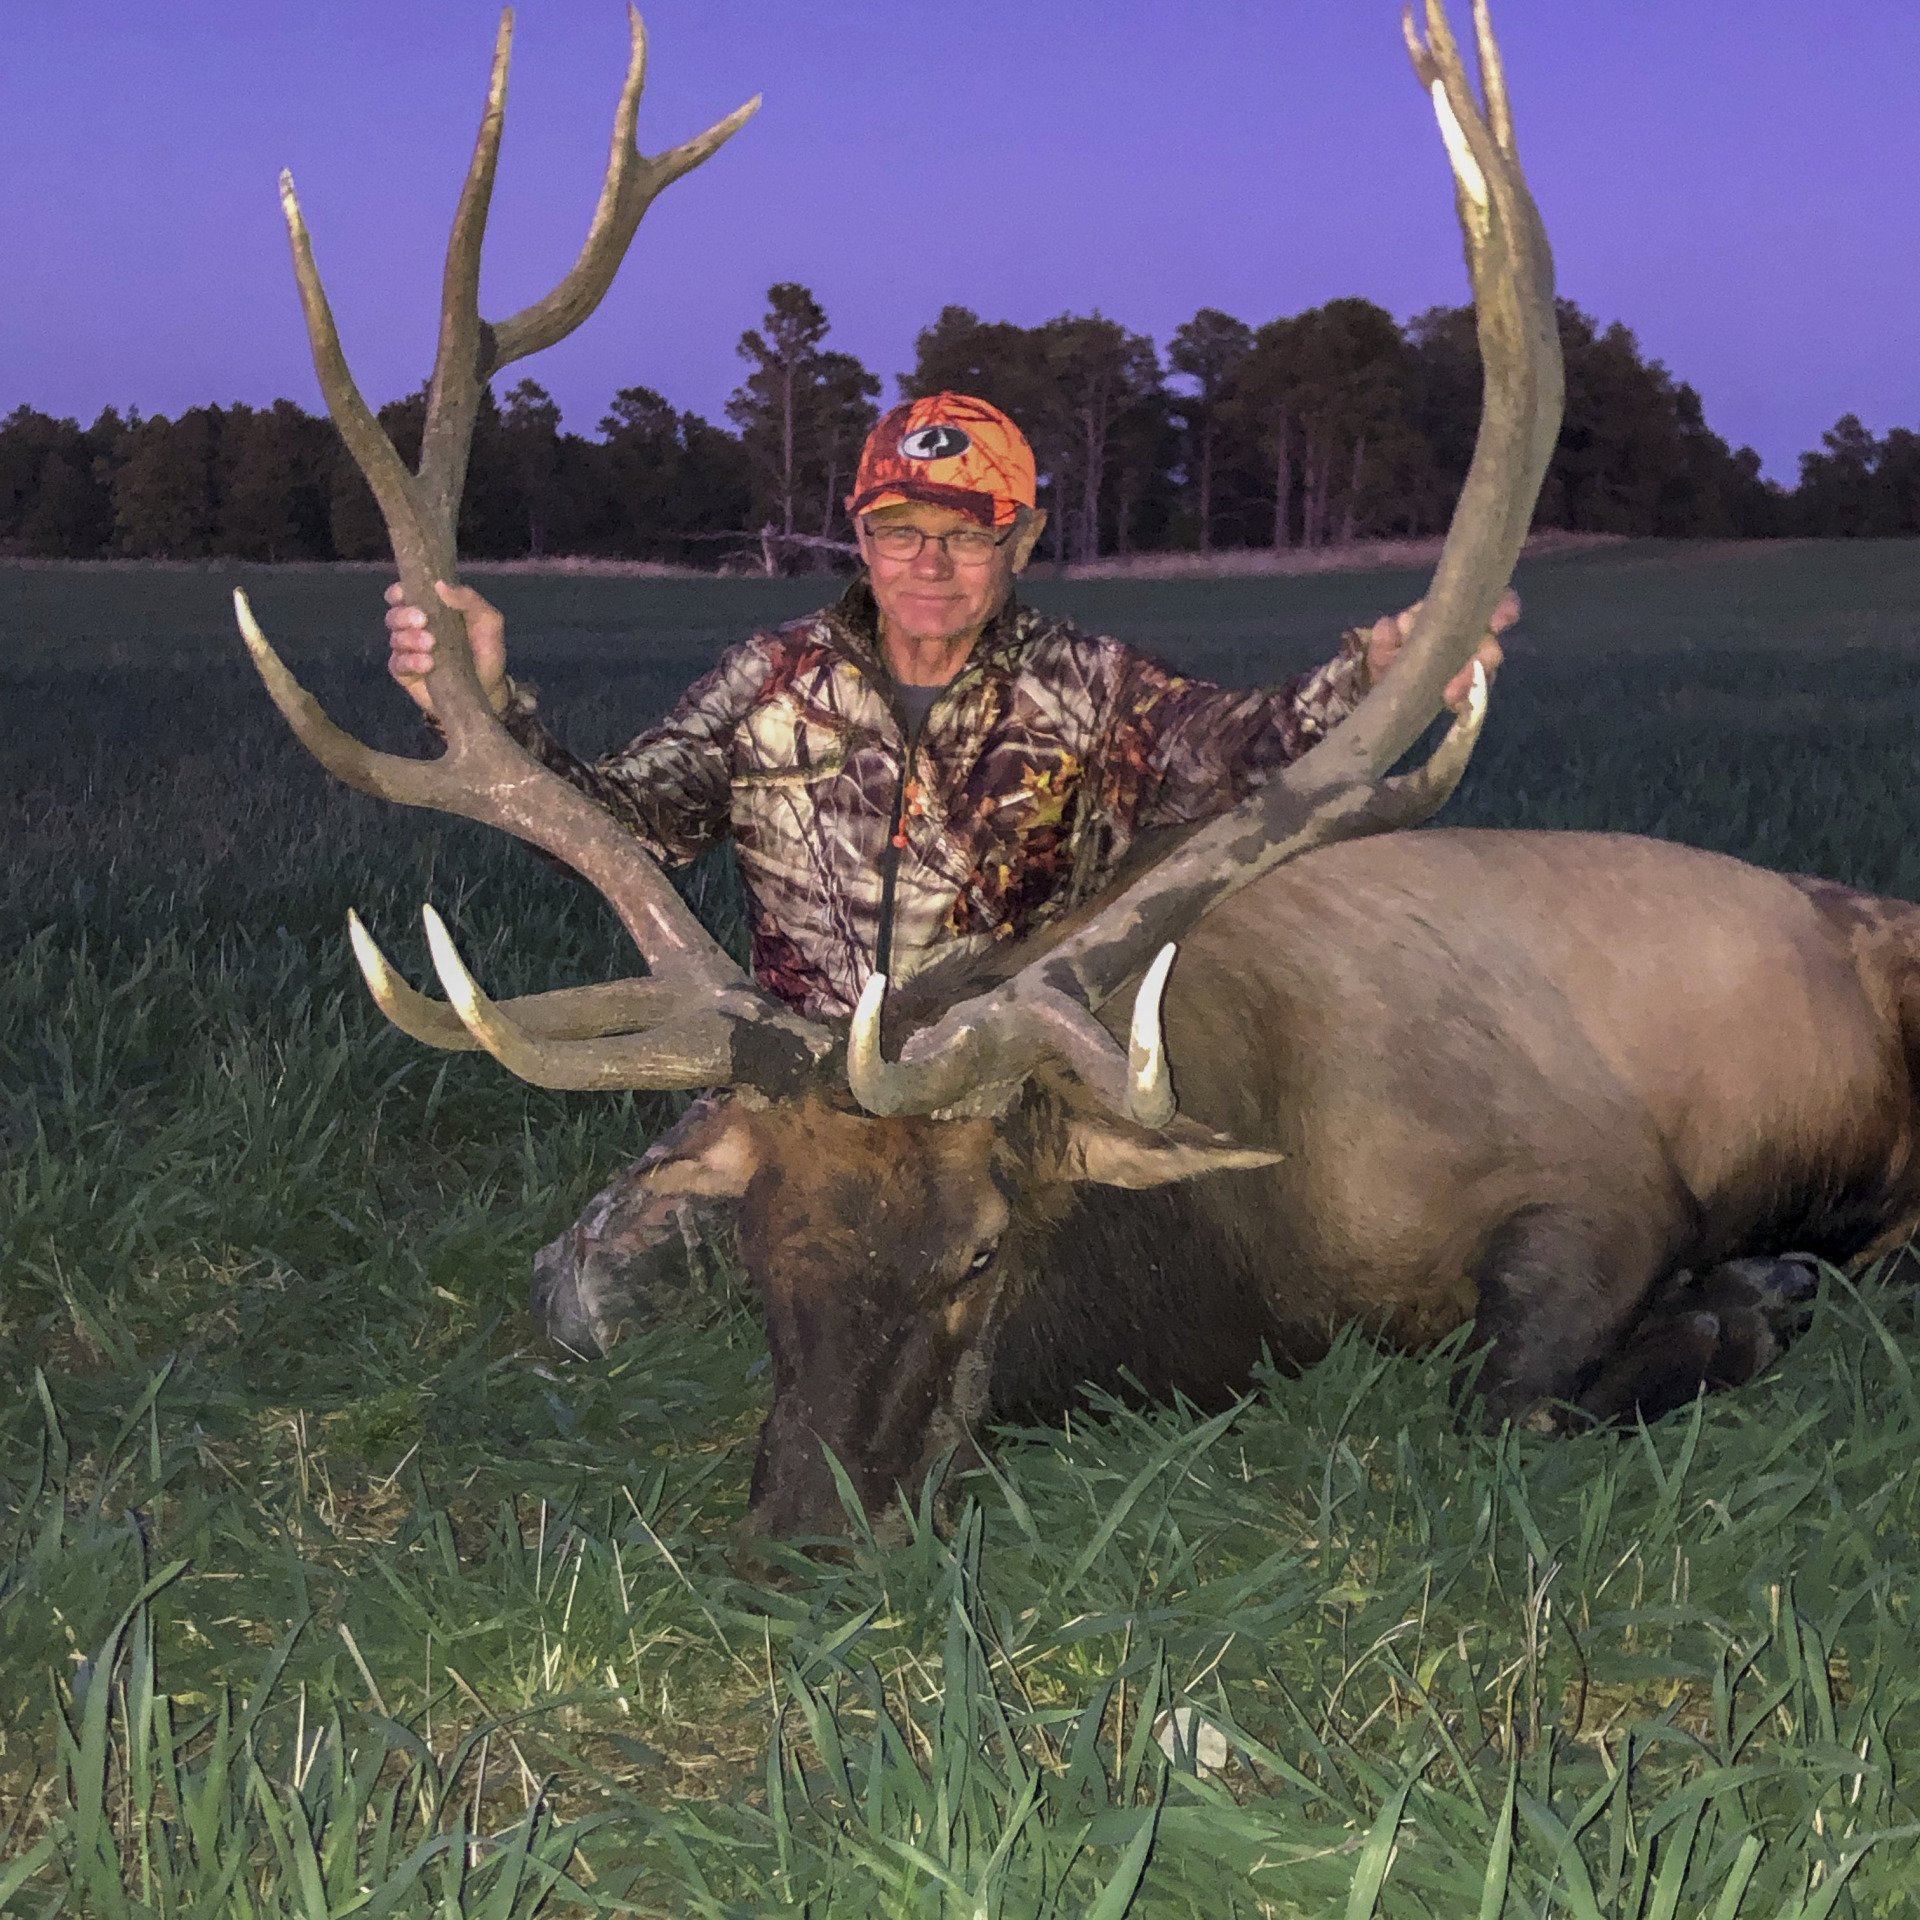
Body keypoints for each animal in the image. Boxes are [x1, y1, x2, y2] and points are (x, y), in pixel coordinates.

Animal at [234, 3, 1920, 1539]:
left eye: (985, 1245)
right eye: (764, 1248)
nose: (801, 1531)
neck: (1258, 1270)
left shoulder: (1602, 1177)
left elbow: (1513, 1400)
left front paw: (1748, 1297)